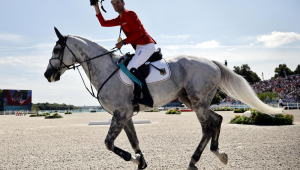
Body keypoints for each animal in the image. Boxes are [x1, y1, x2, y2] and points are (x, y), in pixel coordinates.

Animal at [44, 28, 284, 169]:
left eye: (56, 49)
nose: (48, 75)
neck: (105, 68)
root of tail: (212, 62)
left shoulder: (120, 114)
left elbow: (109, 144)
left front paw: (135, 159)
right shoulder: (126, 115)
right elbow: (134, 141)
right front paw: (141, 161)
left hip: (198, 101)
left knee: (208, 127)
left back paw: (194, 161)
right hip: (191, 100)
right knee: (216, 121)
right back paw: (219, 154)